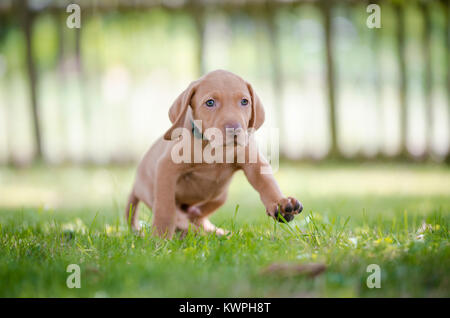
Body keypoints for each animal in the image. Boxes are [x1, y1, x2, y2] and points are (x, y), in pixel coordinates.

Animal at [125, 70, 302, 238]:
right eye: (210, 102)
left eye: (244, 101)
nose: (234, 129)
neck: (216, 149)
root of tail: (135, 184)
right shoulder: (166, 168)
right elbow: (165, 208)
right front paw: (160, 239)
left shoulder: (253, 162)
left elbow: (267, 183)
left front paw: (280, 203)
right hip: (150, 191)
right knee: (180, 216)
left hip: (220, 196)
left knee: (197, 217)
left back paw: (217, 232)